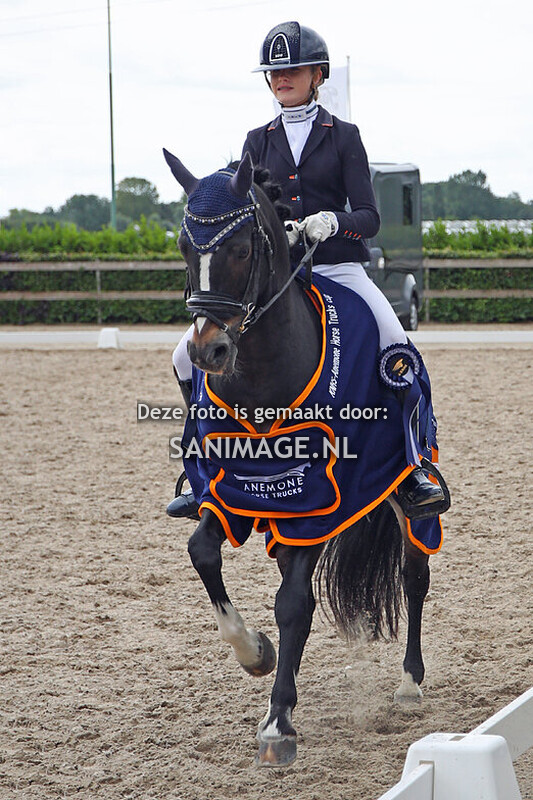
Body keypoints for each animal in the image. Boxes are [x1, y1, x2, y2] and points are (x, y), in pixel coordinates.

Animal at [163, 148, 437, 767]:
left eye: (243, 249)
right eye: (186, 246)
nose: (208, 351)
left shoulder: (316, 503)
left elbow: (293, 605)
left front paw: (277, 723)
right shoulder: (232, 492)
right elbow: (202, 553)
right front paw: (255, 654)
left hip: (403, 490)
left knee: (414, 573)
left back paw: (410, 683)